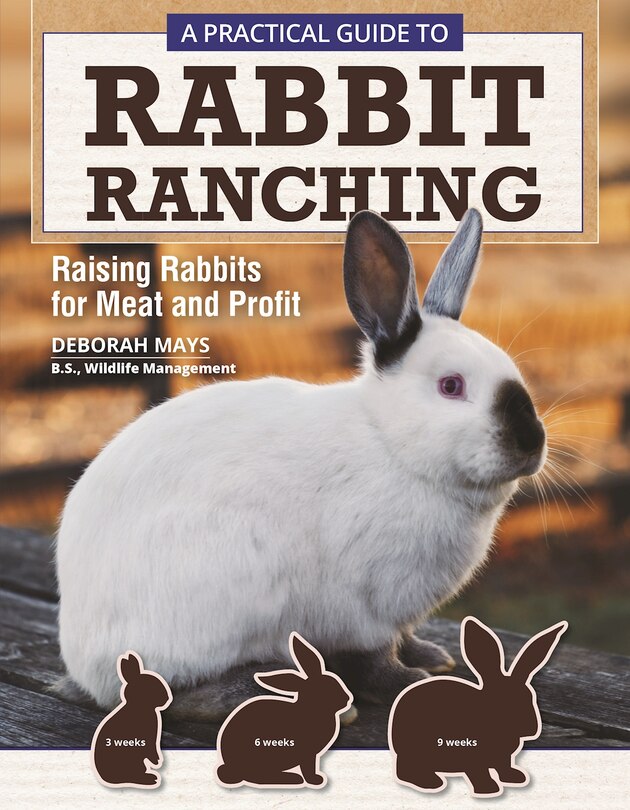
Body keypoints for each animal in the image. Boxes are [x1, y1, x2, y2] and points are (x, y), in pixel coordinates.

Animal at [56, 208, 548, 722]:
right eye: (451, 386)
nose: (532, 442)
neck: (390, 444)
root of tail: (84, 663)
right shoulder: (364, 608)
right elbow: (376, 658)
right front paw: (409, 681)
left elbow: (404, 639)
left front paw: (433, 657)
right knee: (181, 693)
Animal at [389, 617, 568, 797]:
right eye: (500, 703)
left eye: (530, 698)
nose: (531, 728)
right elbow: (478, 773)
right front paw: (489, 790)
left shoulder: (503, 759)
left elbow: (504, 768)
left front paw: (516, 777)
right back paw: (431, 782)